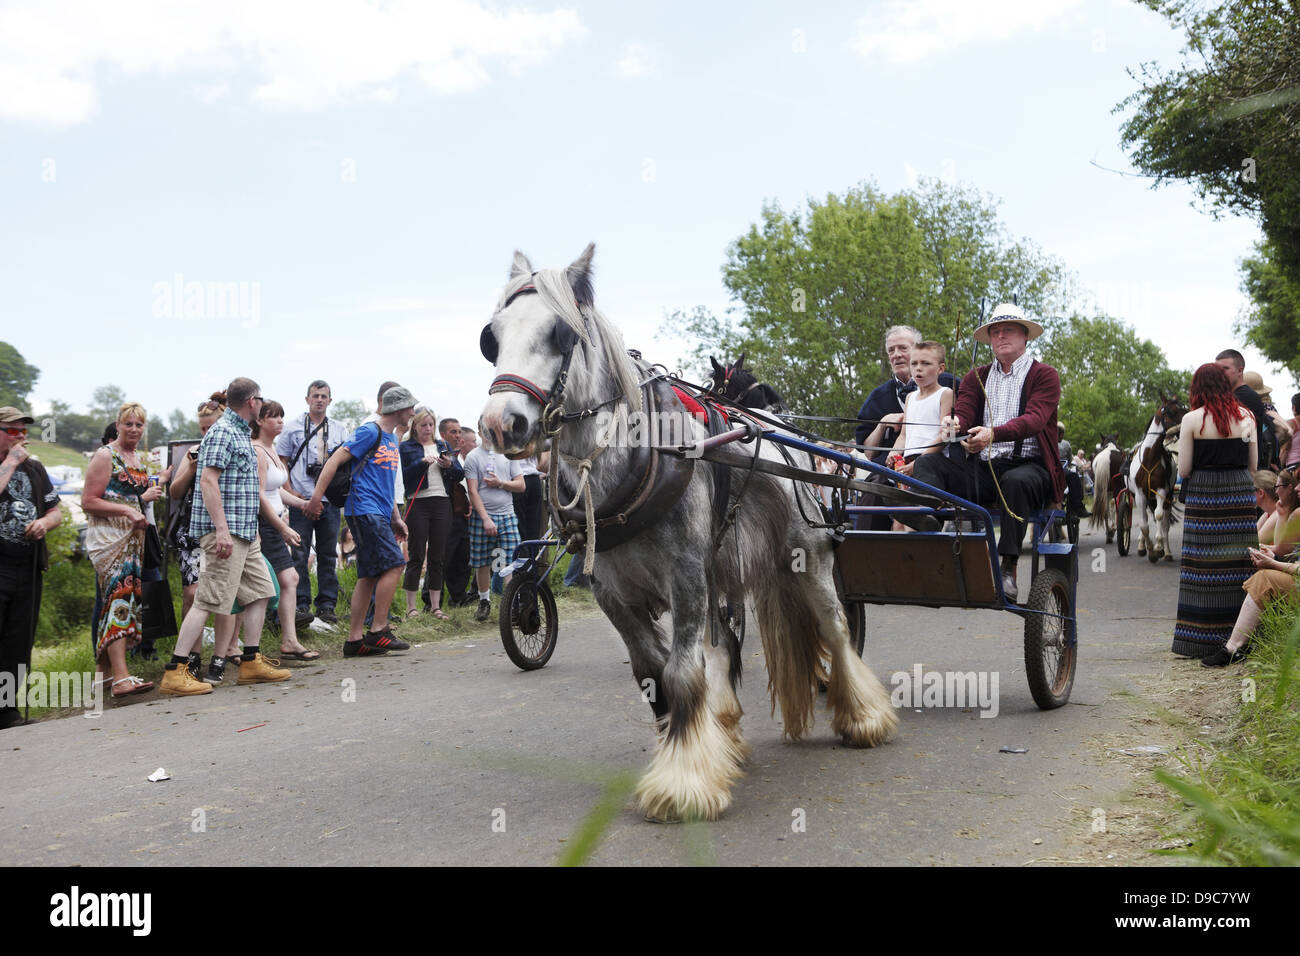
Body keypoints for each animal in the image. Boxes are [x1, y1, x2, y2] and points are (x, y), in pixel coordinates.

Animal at [483, 247, 899, 822]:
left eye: (560, 334)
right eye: (493, 338)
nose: (500, 424)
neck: (634, 463)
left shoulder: (685, 579)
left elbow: (683, 671)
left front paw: (682, 784)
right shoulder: (614, 592)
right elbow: (654, 672)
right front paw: (694, 752)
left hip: (807, 559)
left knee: (835, 628)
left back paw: (863, 717)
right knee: (729, 644)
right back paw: (724, 728)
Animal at [1128, 395, 1190, 561]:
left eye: (1184, 408)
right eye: (1172, 411)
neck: (1149, 458)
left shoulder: (1162, 491)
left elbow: (1159, 517)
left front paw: (1157, 547)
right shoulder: (1140, 495)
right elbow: (1143, 525)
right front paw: (1149, 548)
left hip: (1167, 498)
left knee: (1164, 523)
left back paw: (1166, 551)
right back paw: (1142, 546)